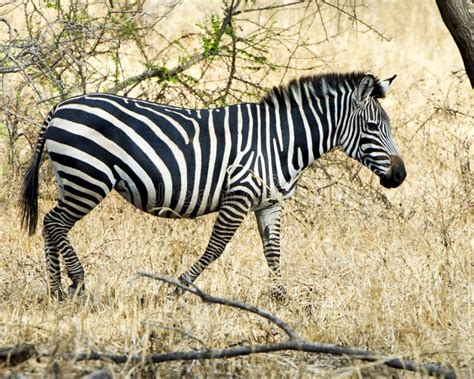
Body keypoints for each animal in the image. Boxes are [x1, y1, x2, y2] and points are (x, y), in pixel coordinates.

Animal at [21, 72, 408, 302]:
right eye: (373, 127)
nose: (400, 176)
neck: (280, 142)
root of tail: (60, 106)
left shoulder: (269, 202)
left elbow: (274, 251)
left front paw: (282, 299)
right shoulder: (239, 194)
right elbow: (216, 248)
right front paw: (176, 290)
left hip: (71, 179)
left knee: (51, 225)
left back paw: (57, 290)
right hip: (88, 179)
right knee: (54, 223)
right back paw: (76, 282)